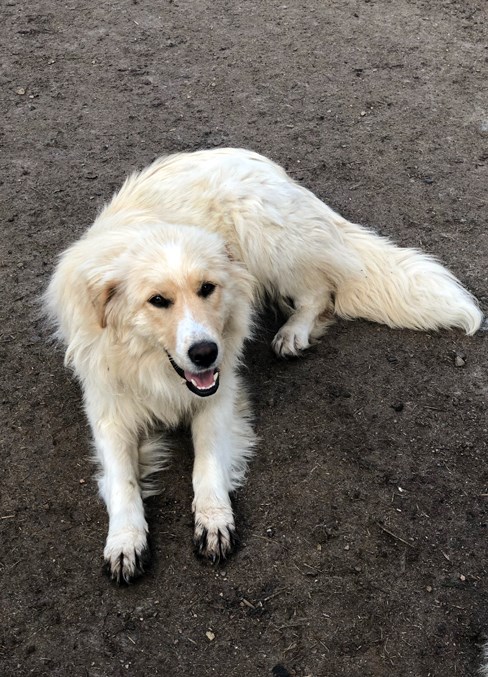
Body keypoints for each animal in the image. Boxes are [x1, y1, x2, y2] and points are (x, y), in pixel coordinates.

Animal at [45, 148, 484, 580]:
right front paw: (124, 540)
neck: (153, 365)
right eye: (157, 301)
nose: (205, 353)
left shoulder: (219, 398)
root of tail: (269, 168)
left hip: (266, 241)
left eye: (207, 288)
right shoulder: (110, 411)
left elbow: (206, 464)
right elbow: (123, 481)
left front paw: (214, 519)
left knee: (319, 292)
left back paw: (294, 332)